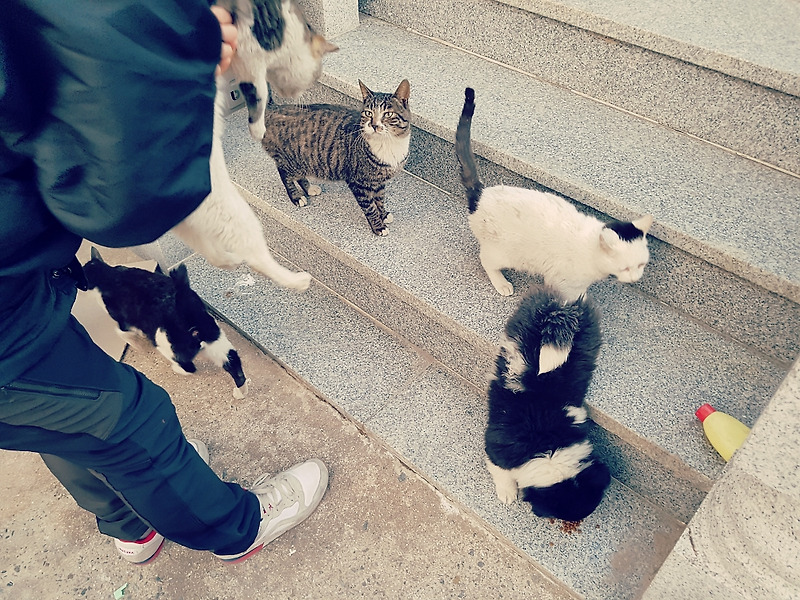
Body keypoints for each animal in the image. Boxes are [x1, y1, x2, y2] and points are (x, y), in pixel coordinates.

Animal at [83, 246, 248, 400]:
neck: (107, 276)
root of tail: (184, 308)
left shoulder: (122, 320)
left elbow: (120, 332)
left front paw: (137, 344)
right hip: (216, 339)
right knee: (234, 363)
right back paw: (241, 392)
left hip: (164, 343)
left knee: (189, 367)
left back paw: (177, 368)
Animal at [172, 0, 338, 290]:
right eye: (314, 76)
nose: (293, 95)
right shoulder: (249, 54)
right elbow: (257, 92)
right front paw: (257, 127)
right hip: (234, 214)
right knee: (257, 259)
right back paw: (299, 280)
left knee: (215, 254)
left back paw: (230, 262)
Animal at [454, 85, 652, 300]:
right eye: (626, 268)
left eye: (641, 265)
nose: (635, 278)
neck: (592, 253)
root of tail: (481, 193)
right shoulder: (565, 282)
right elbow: (575, 297)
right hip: (503, 252)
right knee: (486, 261)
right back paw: (501, 283)